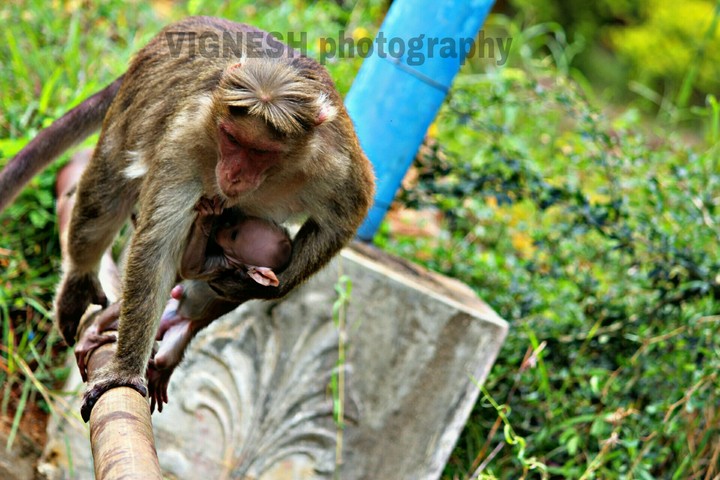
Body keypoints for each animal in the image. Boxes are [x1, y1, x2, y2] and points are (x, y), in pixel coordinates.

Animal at [0, 16, 375, 422]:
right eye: (231, 138)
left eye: (260, 151)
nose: (232, 174)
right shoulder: (187, 137)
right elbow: (157, 249)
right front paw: (126, 371)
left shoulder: (335, 163)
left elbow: (345, 218)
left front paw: (258, 286)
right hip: (133, 101)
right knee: (107, 189)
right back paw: (80, 282)